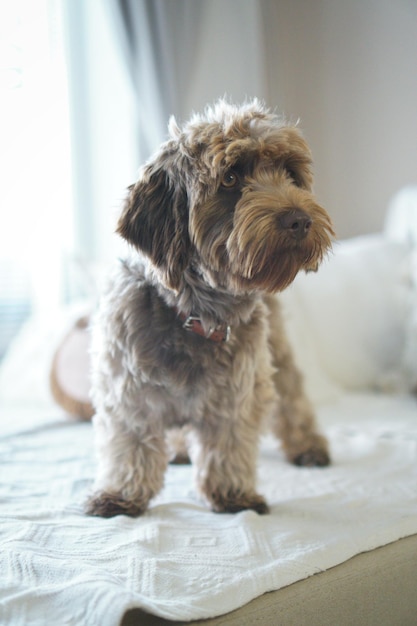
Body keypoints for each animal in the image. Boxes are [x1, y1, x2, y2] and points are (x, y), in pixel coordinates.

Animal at [85, 100, 334, 516]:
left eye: (290, 173)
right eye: (230, 179)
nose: (300, 220)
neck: (195, 313)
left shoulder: (239, 387)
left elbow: (228, 442)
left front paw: (232, 493)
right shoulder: (128, 390)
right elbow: (131, 442)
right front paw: (122, 493)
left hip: (277, 353)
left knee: (291, 396)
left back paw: (307, 444)